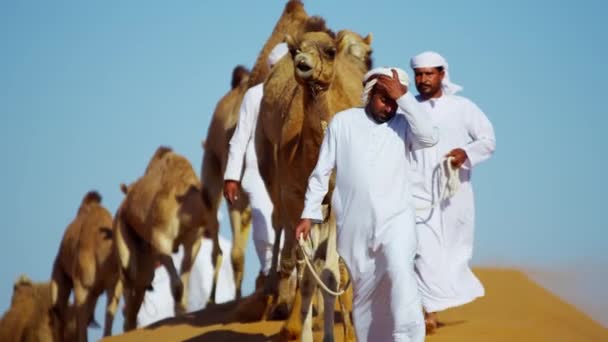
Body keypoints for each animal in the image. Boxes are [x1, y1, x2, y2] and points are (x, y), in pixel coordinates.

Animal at [50, 191, 121, 340]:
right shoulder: (81, 285)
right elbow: (81, 324)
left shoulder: (114, 284)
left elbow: (109, 313)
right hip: (59, 274)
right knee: (59, 312)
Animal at [114, 146, 211, 330]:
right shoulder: (160, 238)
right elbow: (177, 286)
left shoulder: (194, 241)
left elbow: (184, 279)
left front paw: (181, 313)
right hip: (121, 230)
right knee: (131, 274)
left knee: (142, 280)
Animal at [254, 25, 372, 340]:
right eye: (295, 50)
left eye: (329, 51)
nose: (303, 64)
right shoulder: (296, 201)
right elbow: (309, 276)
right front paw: (303, 331)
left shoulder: (335, 205)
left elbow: (328, 272)